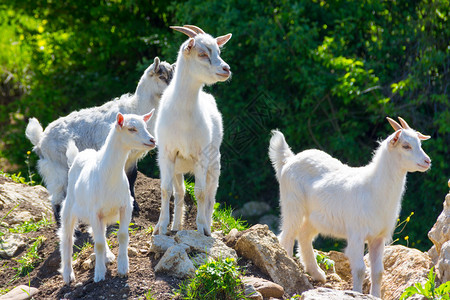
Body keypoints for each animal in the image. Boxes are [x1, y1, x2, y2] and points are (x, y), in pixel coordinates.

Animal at [59, 110, 156, 284]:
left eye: (145, 126)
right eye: (131, 129)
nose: (152, 140)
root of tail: (79, 155)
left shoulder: (125, 206)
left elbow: (122, 236)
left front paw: (123, 268)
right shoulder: (94, 212)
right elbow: (98, 244)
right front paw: (99, 274)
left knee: (100, 233)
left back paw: (108, 256)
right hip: (69, 207)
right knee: (67, 238)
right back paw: (68, 274)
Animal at [154, 25, 232, 237]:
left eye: (219, 51)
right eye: (202, 53)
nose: (226, 69)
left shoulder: (201, 155)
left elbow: (200, 192)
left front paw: (202, 228)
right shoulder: (167, 154)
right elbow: (165, 190)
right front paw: (161, 227)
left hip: (214, 164)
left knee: (211, 194)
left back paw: (207, 225)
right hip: (177, 167)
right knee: (179, 192)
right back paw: (175, 226)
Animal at [268, 116, 430, 296]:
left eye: (420, 143)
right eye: (406, 146)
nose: (427, 161)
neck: (372, 188)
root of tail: (289, 159)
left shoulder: (378, 237)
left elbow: (378, 272)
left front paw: (374, 295)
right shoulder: (356, 233)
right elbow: (359, 269)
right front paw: (357, 293)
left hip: (315, 217)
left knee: (304, 235)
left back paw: (317, 274)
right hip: (292, 204)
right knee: (287, 236)